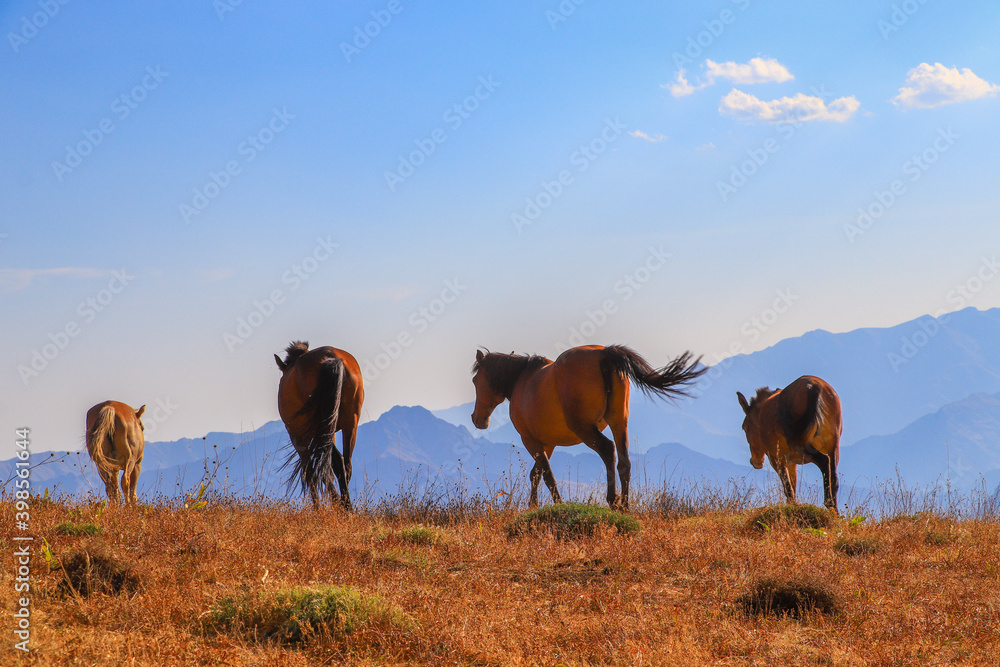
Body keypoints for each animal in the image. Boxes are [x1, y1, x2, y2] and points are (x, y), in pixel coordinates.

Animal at [275, 341, 364, 509]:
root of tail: (331, 357)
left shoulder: (297, 437)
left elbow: (310, 471)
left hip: (317, 428)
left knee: (328, 465)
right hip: (349, 424)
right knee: (345, 464)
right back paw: (346, 505)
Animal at [471, 345, 705, 509]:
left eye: (475, 381)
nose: (477, 419)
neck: (522, 379)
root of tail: (605, 354)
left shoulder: (531, 440)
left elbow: (546, 475)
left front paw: (555, 505)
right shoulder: (547, 443)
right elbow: (536, 474)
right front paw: (533, 506)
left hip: (585, 428)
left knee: (607, 450)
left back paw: (613, 500)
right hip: (619, 422)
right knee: (624, 462)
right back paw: (625, 506)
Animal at [737, 375, 842, 511]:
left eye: (744, 427)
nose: (755, 462)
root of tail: (815, 388)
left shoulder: (777, 459)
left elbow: (788, 490)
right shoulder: (792, 463)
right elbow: (793, 487)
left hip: (801, 444)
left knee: (824, 461)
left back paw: (828, 503)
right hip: (833, 446)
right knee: (834, 477)